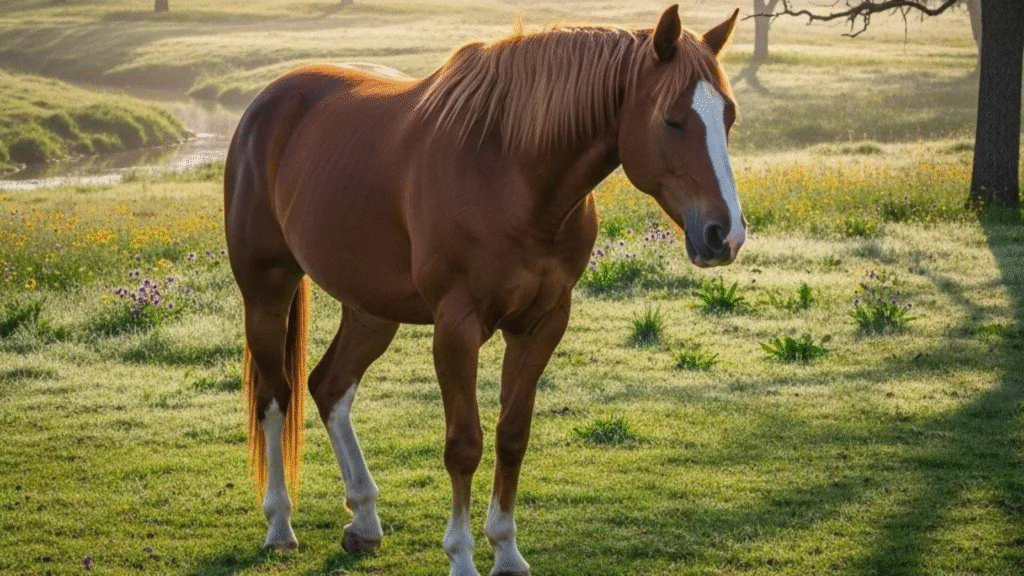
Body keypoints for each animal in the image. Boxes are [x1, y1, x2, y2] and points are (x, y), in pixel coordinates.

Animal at [224, 5, 744, 575]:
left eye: (728, 117)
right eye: (672, 119)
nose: (725, 234)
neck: (510, 174)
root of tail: (268, 104)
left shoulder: (542, 323)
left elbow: (512, 436)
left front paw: (508, 552)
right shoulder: (457, 326)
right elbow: (464, 445)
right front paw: (462, 556)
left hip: (371, 310)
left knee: (329, 386)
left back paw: (363, 521)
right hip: (267, 293)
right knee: (275, 398)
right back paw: (280, 526)